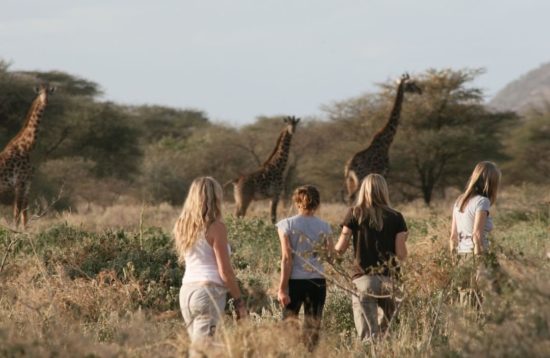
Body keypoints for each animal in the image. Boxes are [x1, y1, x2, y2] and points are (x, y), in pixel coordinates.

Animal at [0, 84, 55, 227]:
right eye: (40, 93)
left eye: (49, 93)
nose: (46, 101)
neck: (27, 147)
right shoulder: (20, 182)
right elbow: (17, 213)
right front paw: (15, 230)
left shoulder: (28, 183)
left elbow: (24, 212)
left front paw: (24, 231)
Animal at [344, 72, 422, 201]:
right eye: (412, 84)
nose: (420, 90)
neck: (386, 143)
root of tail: (348, 166)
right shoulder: (383, 173)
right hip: (359, 177)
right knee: (353, 196)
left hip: (350, 181)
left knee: (350, 197)